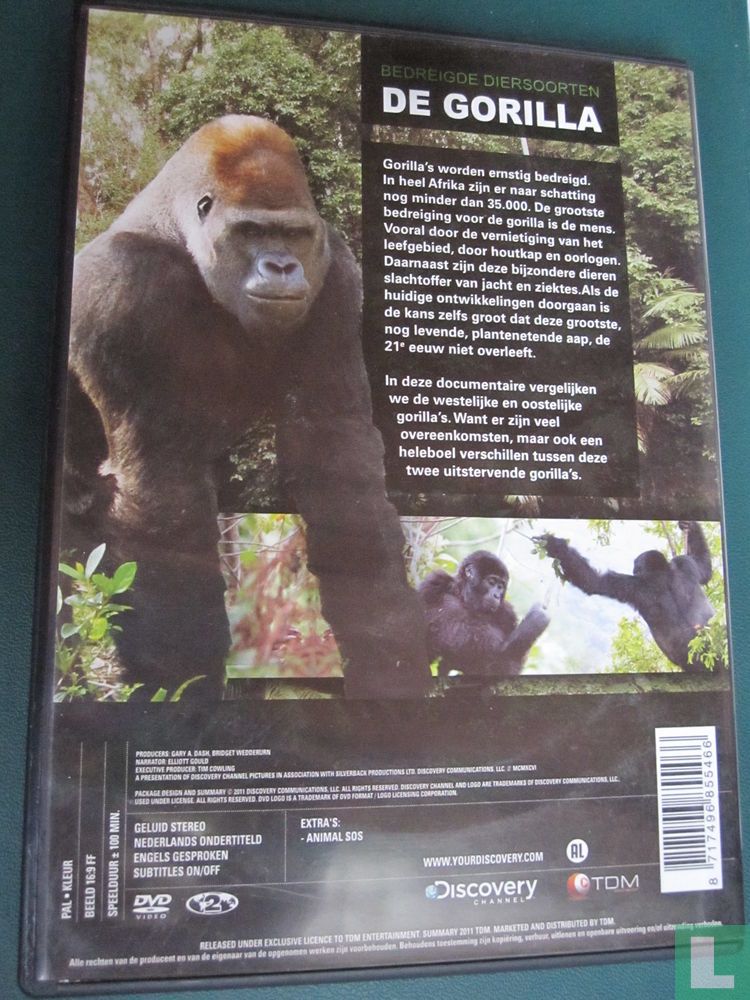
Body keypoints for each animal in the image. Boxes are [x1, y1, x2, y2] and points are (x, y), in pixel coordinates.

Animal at [63, 115, 430, 699]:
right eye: (252, 232)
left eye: (295, 234)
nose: (281, 265)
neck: (178, 237)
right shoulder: (119, 293)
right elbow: (163, 495)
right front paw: (179, 689)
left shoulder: (336, 277)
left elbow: (337, 460)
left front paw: (388, 651)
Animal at [419, 551, 550, 676]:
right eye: (491, 582)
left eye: (501, 586)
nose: (497, 595)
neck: (466, 600)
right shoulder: (434, 582)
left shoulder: (507, 613)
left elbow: (506, 665)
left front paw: (536, 620)